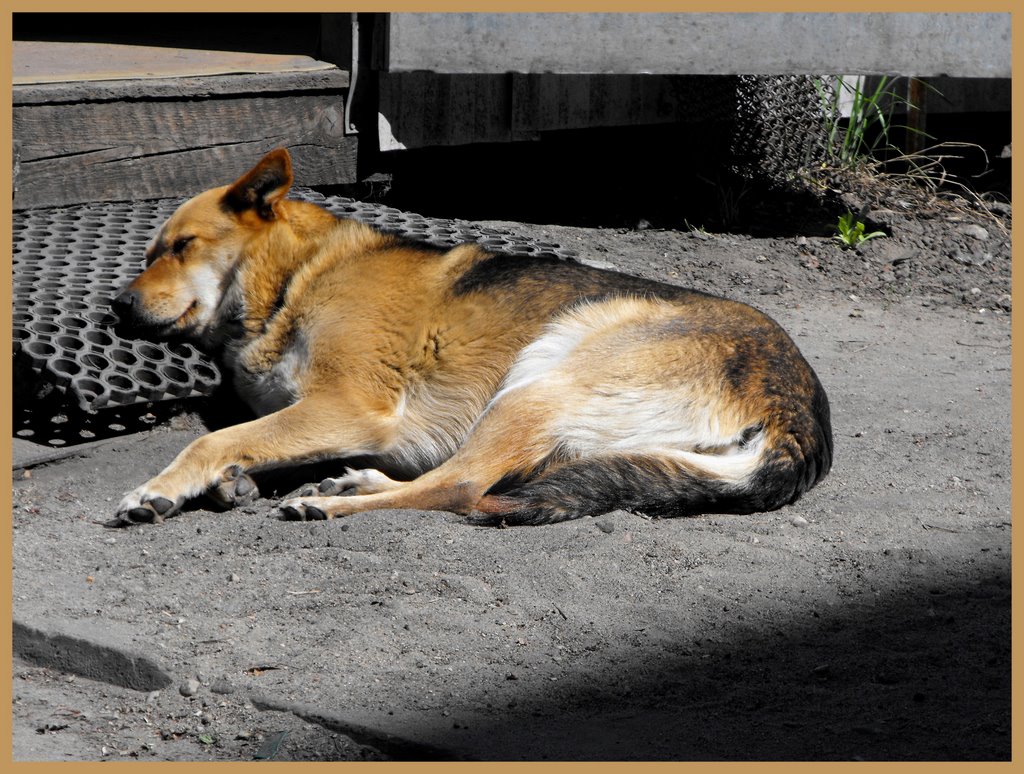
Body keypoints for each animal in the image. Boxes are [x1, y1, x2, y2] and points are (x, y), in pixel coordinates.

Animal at [110, 147, 831, 524]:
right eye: (149, 253)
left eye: (179, 247)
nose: (117, 305)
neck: (298, 275)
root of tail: (796, 414)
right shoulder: (316, 416)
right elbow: (251, 442)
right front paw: (234, 483)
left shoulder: (348, 407)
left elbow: (214, 439)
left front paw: (164, 487)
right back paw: (349, 487)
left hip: (538, 380)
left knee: (458, 487)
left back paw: (339, 502)